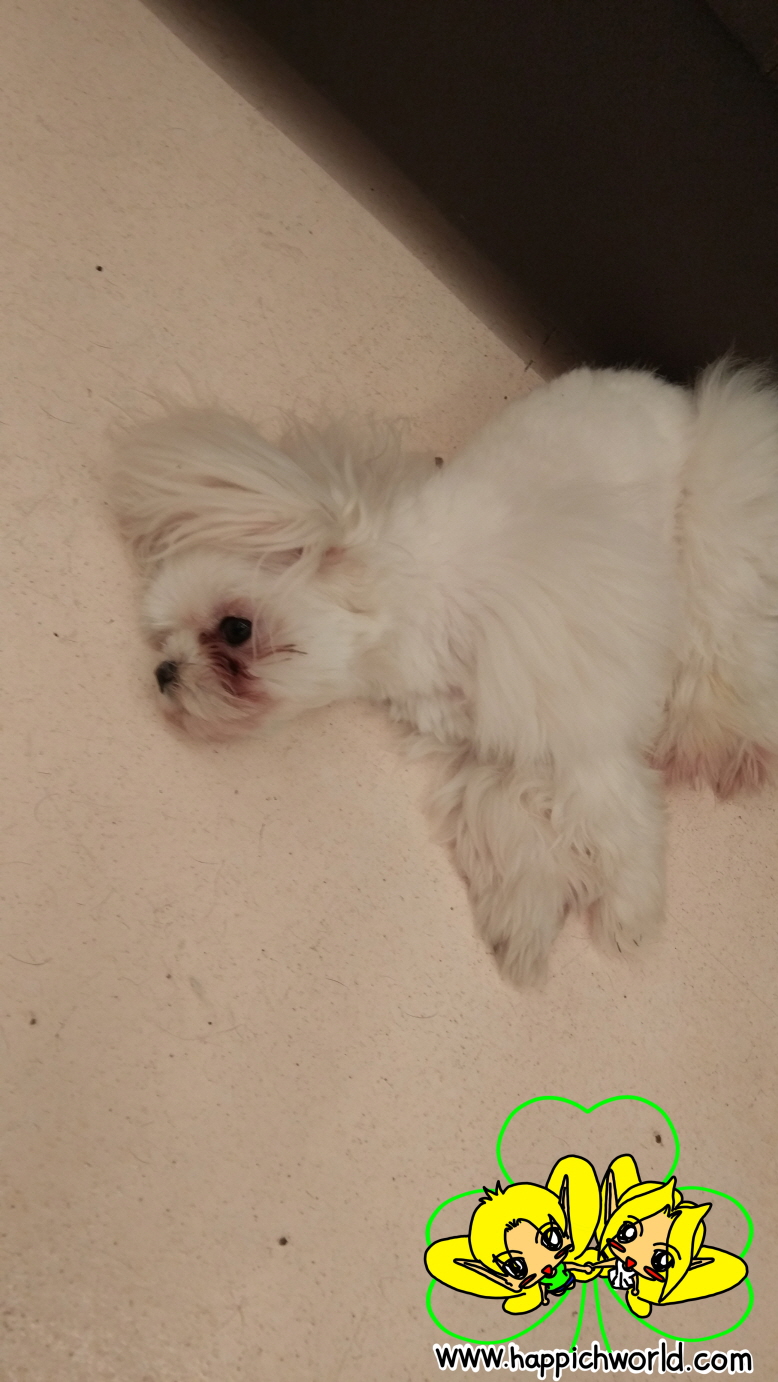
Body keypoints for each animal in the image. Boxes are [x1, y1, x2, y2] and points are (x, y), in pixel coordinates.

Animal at [112, 363, 778, 983]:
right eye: (164, 642)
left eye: (235, 629)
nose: (165, 673)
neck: (417, 603)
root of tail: (677, 393)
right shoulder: (488, 743)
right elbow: (509, 829)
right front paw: (525, 927)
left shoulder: (571, 718)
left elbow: (620, 817)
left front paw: (628, 916)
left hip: (713, 523)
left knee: (721, 637)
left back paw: (721, 745)